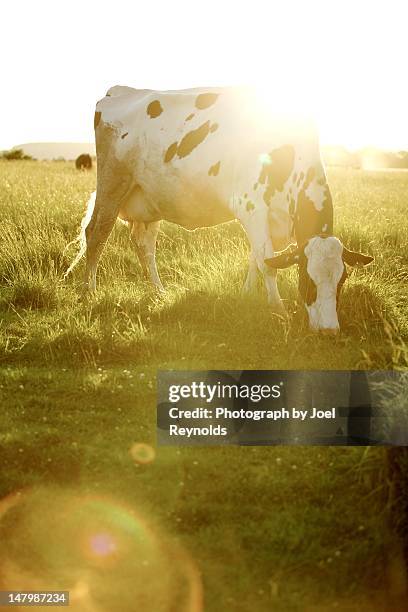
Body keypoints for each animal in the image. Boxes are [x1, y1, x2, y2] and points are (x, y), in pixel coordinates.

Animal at [67, 84, 372, 332]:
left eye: (342, 280)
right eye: (307, 280)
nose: (329, 330)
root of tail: (119, 91)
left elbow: (255, 257)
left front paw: (248, 294)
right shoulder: (252, 207)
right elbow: (267, 263)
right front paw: (279, 310)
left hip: (150, 199)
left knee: (144, 246)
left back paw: (159, 291)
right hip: (112, 187)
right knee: (96, 234)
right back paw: (88, 292)